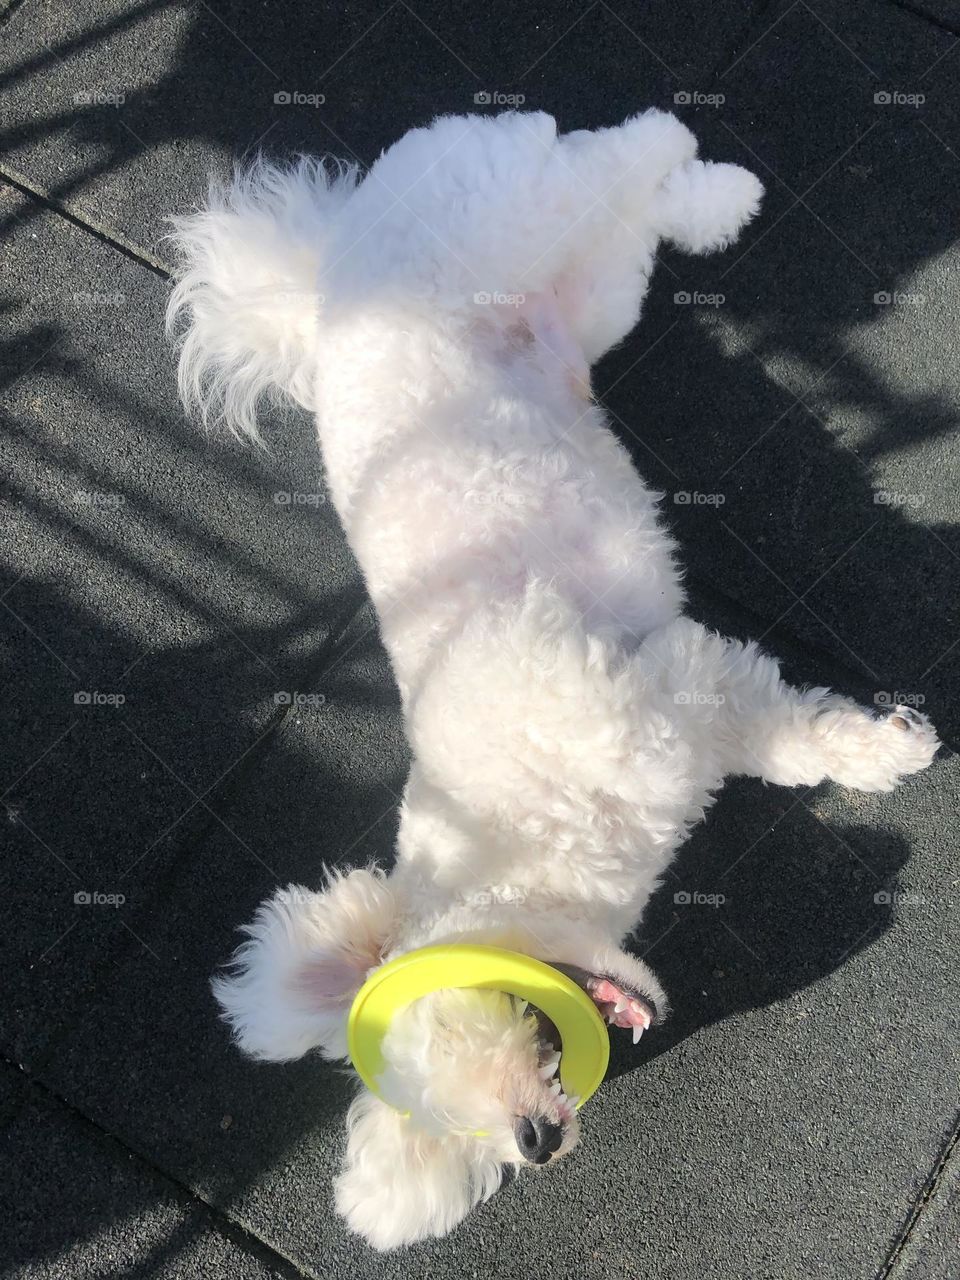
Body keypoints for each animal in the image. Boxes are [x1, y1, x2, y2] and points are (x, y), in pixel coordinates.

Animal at [165, 110, 942, 1249]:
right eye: (468, 1141)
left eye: (473, 1016)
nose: (536, 1139)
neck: (520, 851)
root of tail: (330, 263)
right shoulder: (687, 692)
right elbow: (780, 734)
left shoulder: (653, 684)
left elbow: (791, 732)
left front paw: (889, 750)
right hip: (595, 296)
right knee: (627, 210)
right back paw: (712, 200)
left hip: (513, 216)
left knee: (612, 153)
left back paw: (705, 171)